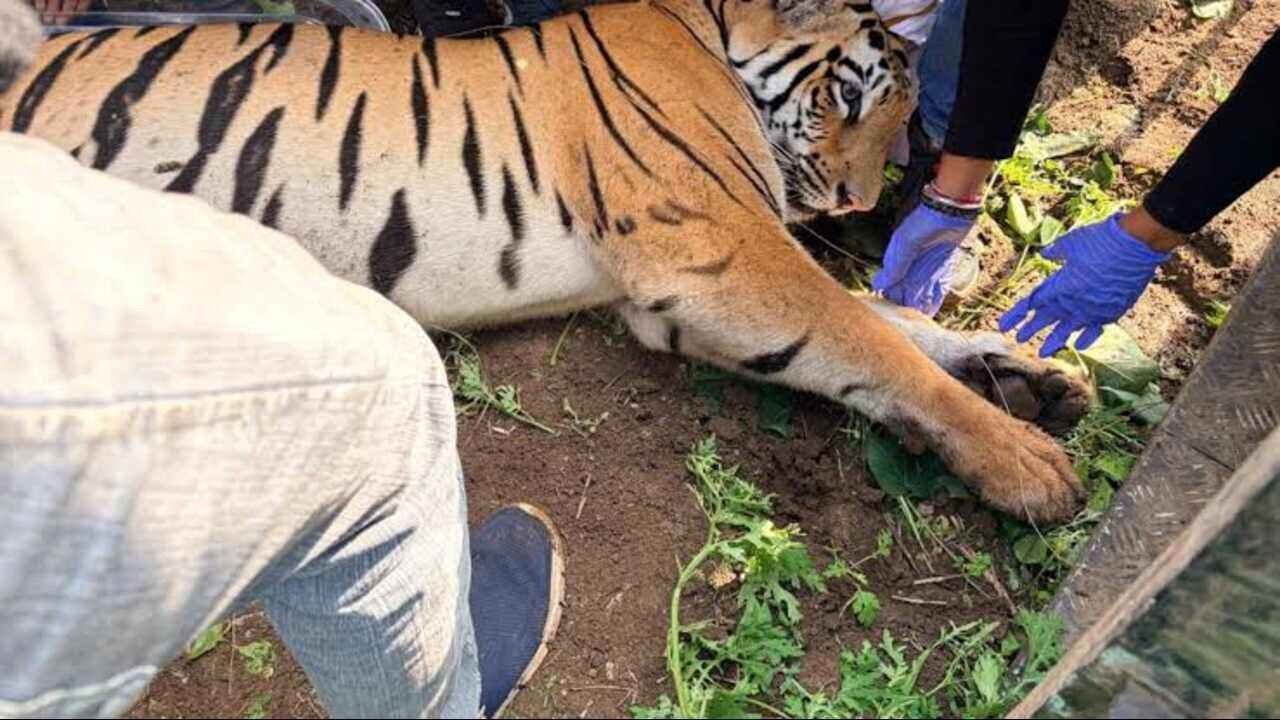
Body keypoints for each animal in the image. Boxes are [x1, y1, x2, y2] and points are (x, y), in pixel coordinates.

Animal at [0, 0, 1092, 522]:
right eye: (855, 99)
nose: (865, 200)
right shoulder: (718, 247)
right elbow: (869, 333)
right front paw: (1025, 462)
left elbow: (893, 322)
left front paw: (1030, 379)